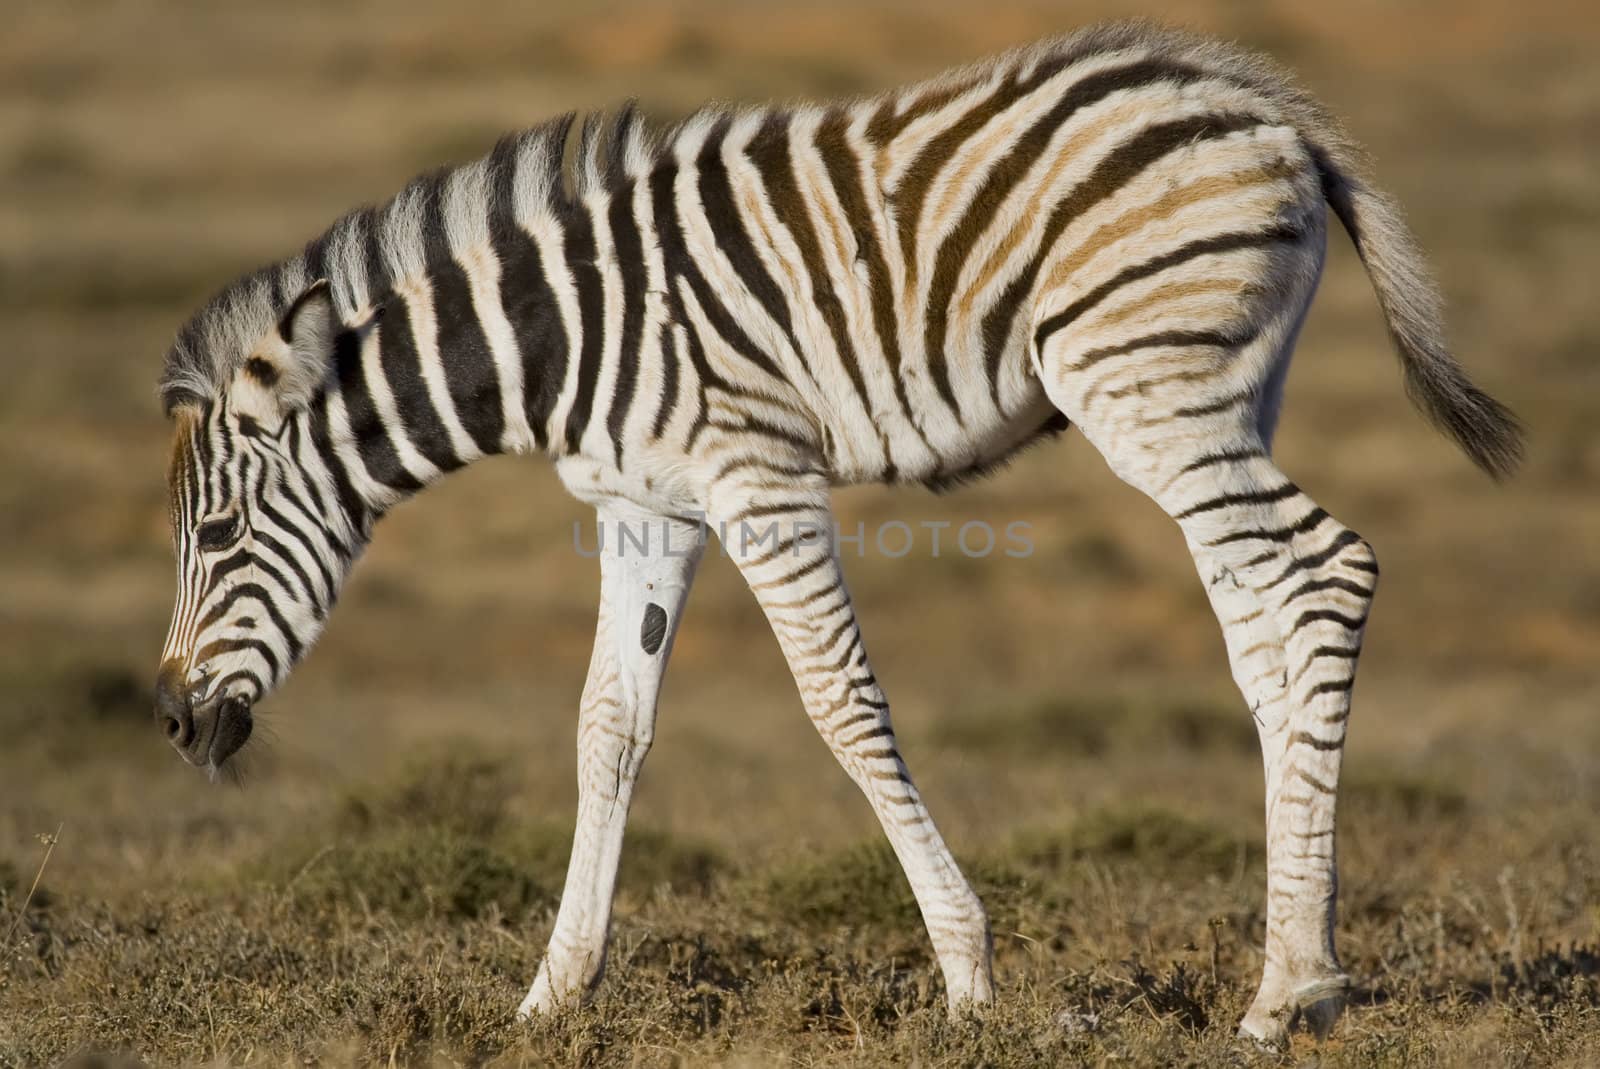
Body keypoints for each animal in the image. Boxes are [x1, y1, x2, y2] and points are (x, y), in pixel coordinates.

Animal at [152, 23, 1523, 1043]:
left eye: (216, 535)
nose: (168, 719)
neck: (563, 339)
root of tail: (1268, 110)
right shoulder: (644, 503)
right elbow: (608, 728)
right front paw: (551, 994)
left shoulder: (758, 475)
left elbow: (838, 699)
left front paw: (968, 976)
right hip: (1223, 393)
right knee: (1263, 626)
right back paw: (1293, 978)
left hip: (1148, 387)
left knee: (1327, 570)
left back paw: (1289, 991)